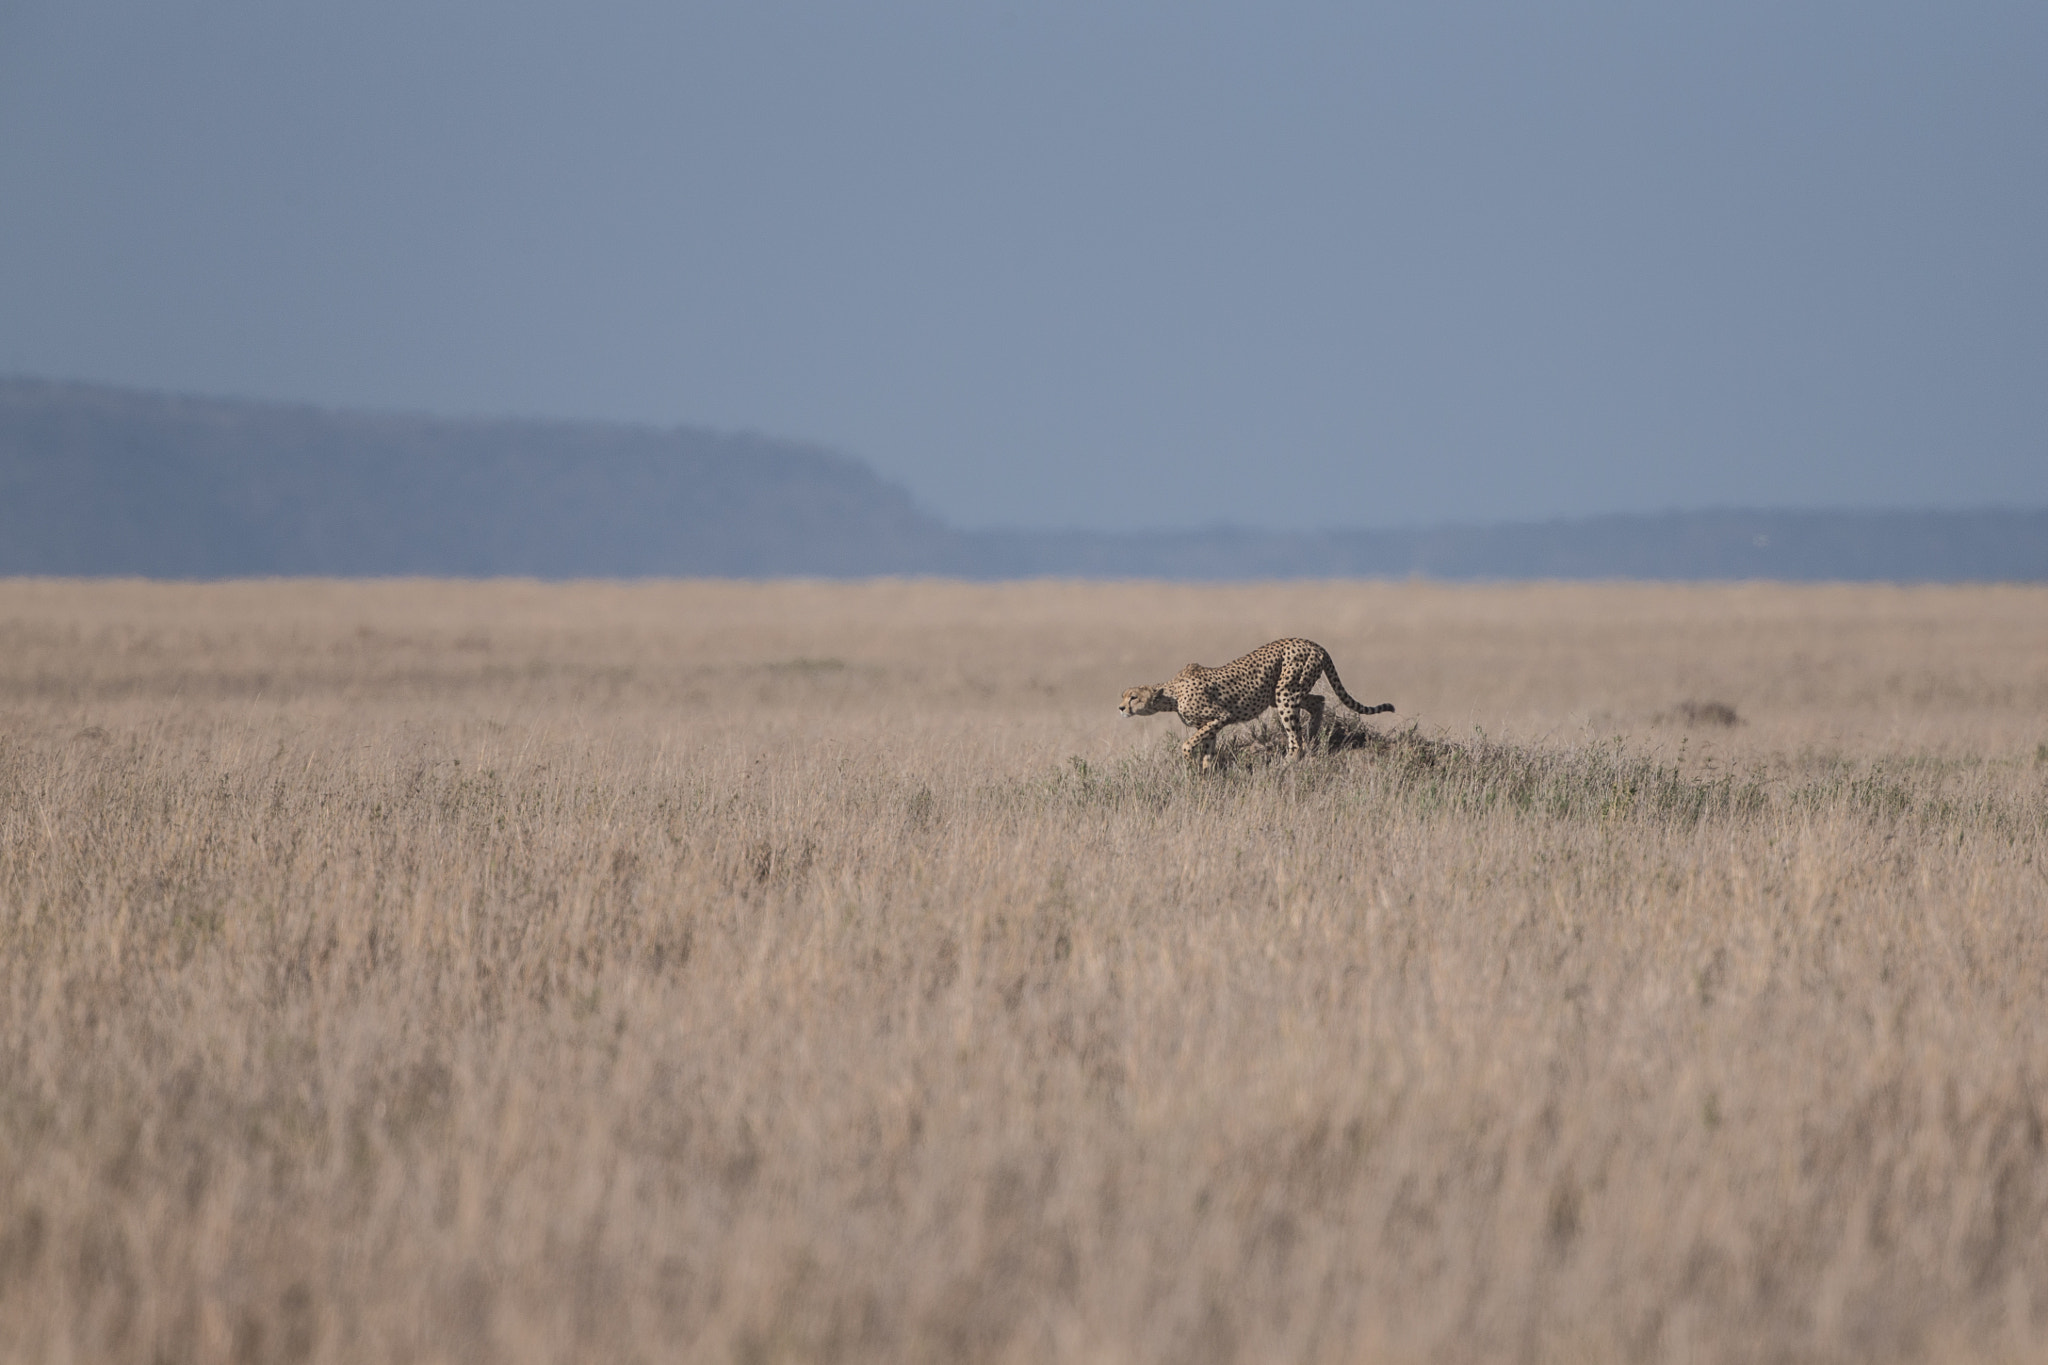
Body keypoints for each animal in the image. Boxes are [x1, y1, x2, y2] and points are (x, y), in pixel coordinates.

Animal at [1122, 642, 1392, 769]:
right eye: (1123, 696)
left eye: (1133, 697)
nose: (1121, 708)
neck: (1171, 694)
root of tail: (1312, 643)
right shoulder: (1210, 725)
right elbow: (1208, 750)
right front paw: (1206, 774)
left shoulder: (1220, 715)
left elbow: (1188, 744)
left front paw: (1191, 763)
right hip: (1283, 692)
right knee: (1318, 701)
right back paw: (1315, 735)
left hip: (1285, 693)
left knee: (1296, 740)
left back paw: (1287, 761)